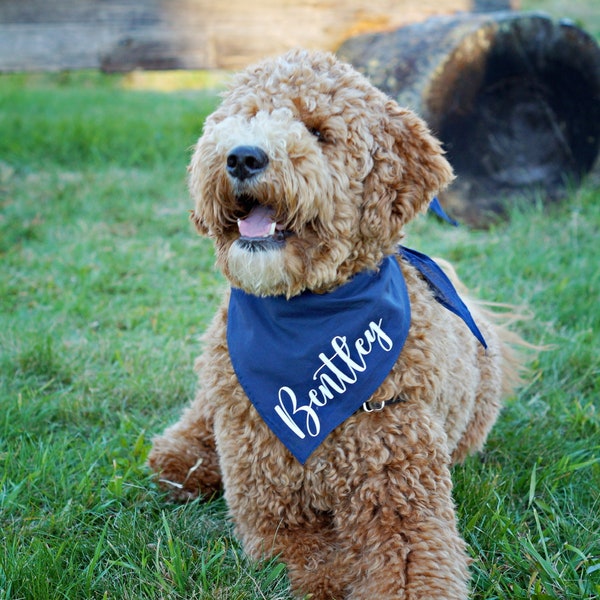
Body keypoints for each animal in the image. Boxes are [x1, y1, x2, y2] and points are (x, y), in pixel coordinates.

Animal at [150, 49, 524, 596]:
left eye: (319, 131)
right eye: (247, 116)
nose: (242, 156)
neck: (306, 314)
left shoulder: (402, 501)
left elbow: (407, 571)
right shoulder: (274, 511)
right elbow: (319, 566)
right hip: (221, 383)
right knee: (198, 418)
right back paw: (183, 459)